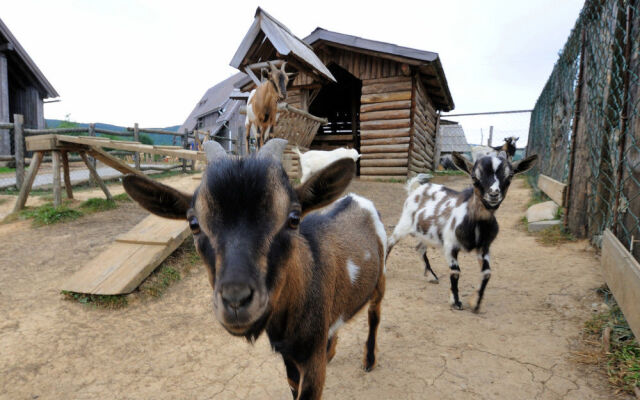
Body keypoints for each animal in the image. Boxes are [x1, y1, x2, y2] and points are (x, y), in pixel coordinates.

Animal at [123, 139, 388, 398]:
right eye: (194, 224)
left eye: (294, 219)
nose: (236, 301)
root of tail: (356, 199)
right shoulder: (288, 356)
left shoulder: (312, 362)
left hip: (381, 278)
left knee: (374, 314)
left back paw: (369, 360)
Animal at [388, 152, 536, 310]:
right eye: (474, 177)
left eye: (510, 177)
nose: (494, 194)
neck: (476, 222)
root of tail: (415, 189)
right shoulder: (450, 245)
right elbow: (455, 272)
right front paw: (456, 301)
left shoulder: (484, 247)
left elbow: (487, 273)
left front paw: (476, 302)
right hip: (404, 224)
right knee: (390, 241)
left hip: (426, 232)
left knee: (420, 248)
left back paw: (432, 276)